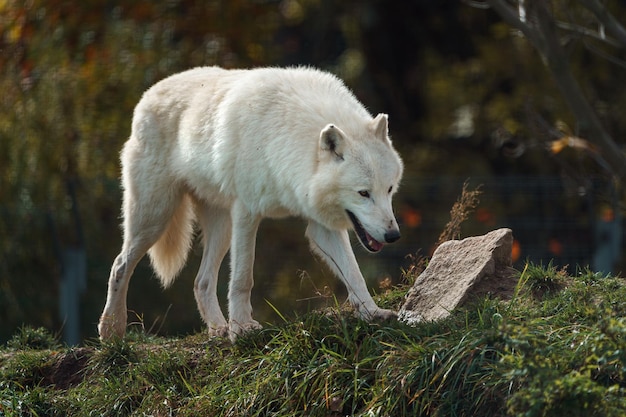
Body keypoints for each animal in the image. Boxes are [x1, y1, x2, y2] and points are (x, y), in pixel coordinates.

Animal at [96, 64, 400, 338]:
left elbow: (354, 273)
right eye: (363, 193)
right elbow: (243, 277)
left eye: (389, 189)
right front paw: (242, 328)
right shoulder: (247, 212)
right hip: (155, 218)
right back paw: (111, 331)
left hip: (220, 228)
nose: (393, 235)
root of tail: (147, 95)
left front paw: (372, 313)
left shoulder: (320, 226)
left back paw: (217, 330)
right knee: (119, 265)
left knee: (201, 282)